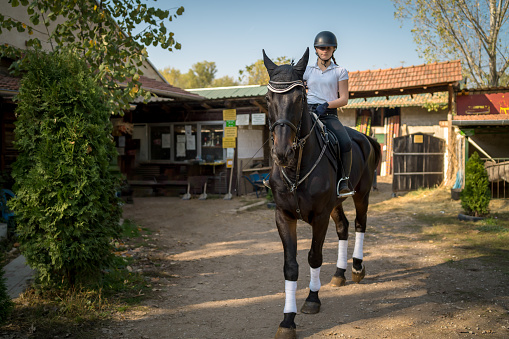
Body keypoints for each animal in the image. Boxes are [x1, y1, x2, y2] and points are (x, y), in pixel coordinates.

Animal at [264, 48, 380, 339]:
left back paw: (356, 268)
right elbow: (290, 266)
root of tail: (365, 138)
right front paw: (287, 320)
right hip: (335, 205)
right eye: (268, 98)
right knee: (344, 227)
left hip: (361, 195)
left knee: (360, 225)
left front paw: (312, 300)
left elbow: (314, 257)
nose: (282, 153)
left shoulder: (319, 216)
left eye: (300, 97)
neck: (295, 169)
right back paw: (339, 274)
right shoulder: (284, 216)